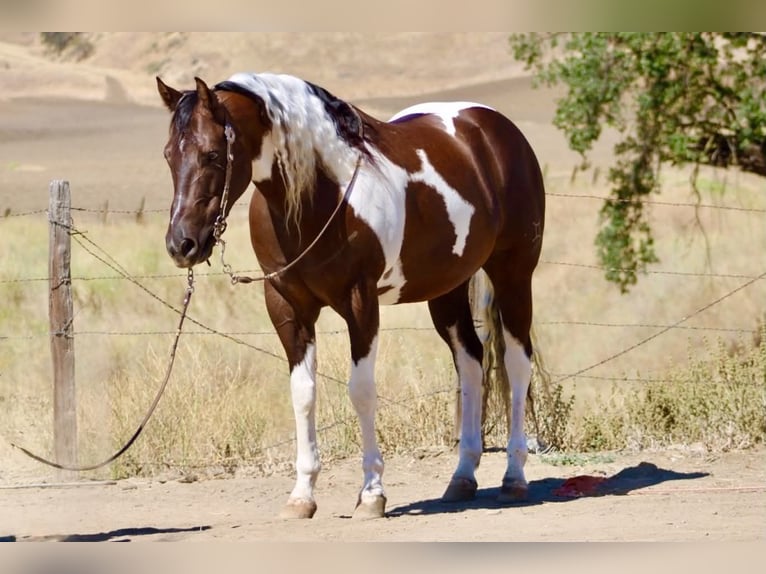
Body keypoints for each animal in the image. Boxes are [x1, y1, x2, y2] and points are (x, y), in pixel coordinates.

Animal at [156, 72, 545, 519]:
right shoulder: (288, 306)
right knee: (470, 363)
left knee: (516, 363)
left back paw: (514, 477)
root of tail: (495, 128)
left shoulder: (361, 303)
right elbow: (303, 394)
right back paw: (462, 477)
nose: (181, 245)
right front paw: (302, 496)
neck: (317, 198)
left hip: (513, 273)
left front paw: (372, 493)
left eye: (212, 154)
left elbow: (360, 391)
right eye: (169, 155)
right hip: (446, 290)